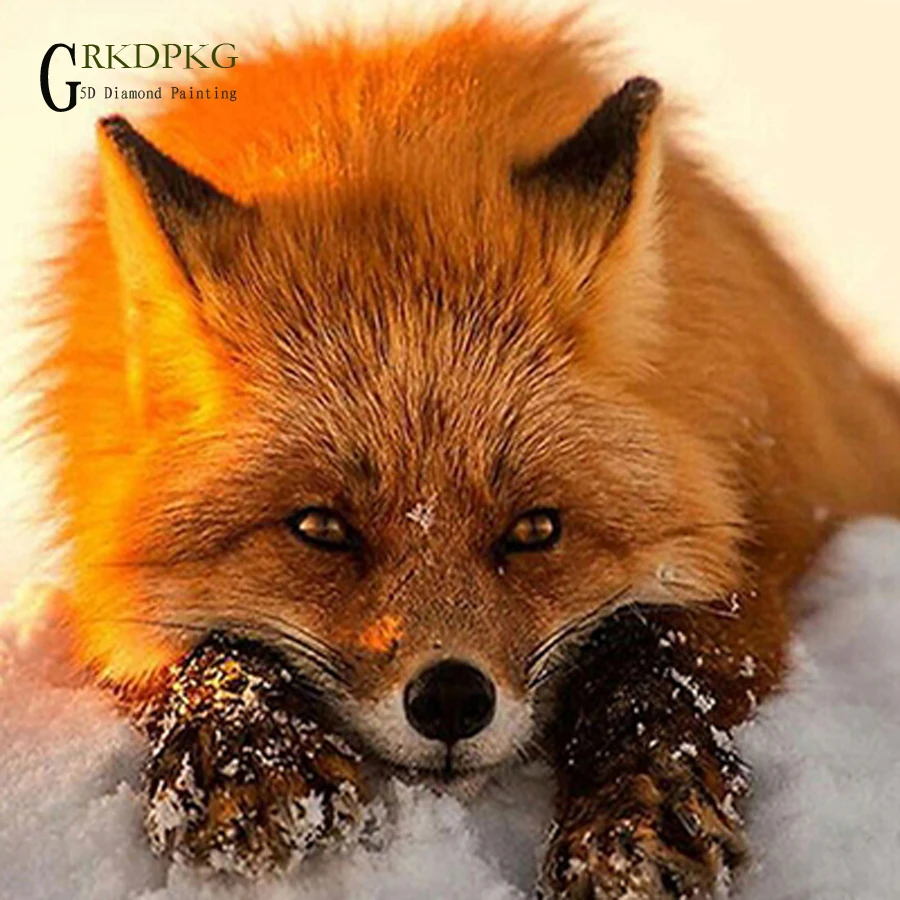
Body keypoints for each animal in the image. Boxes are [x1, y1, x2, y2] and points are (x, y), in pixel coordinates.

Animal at [34, 9, 900, 898]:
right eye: (321, 529)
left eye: (535, 530)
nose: (451, 699)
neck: (389, 134)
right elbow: (207, 647)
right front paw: (249, 754)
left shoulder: (759, 546)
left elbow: (654, 662)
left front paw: (635, 816)